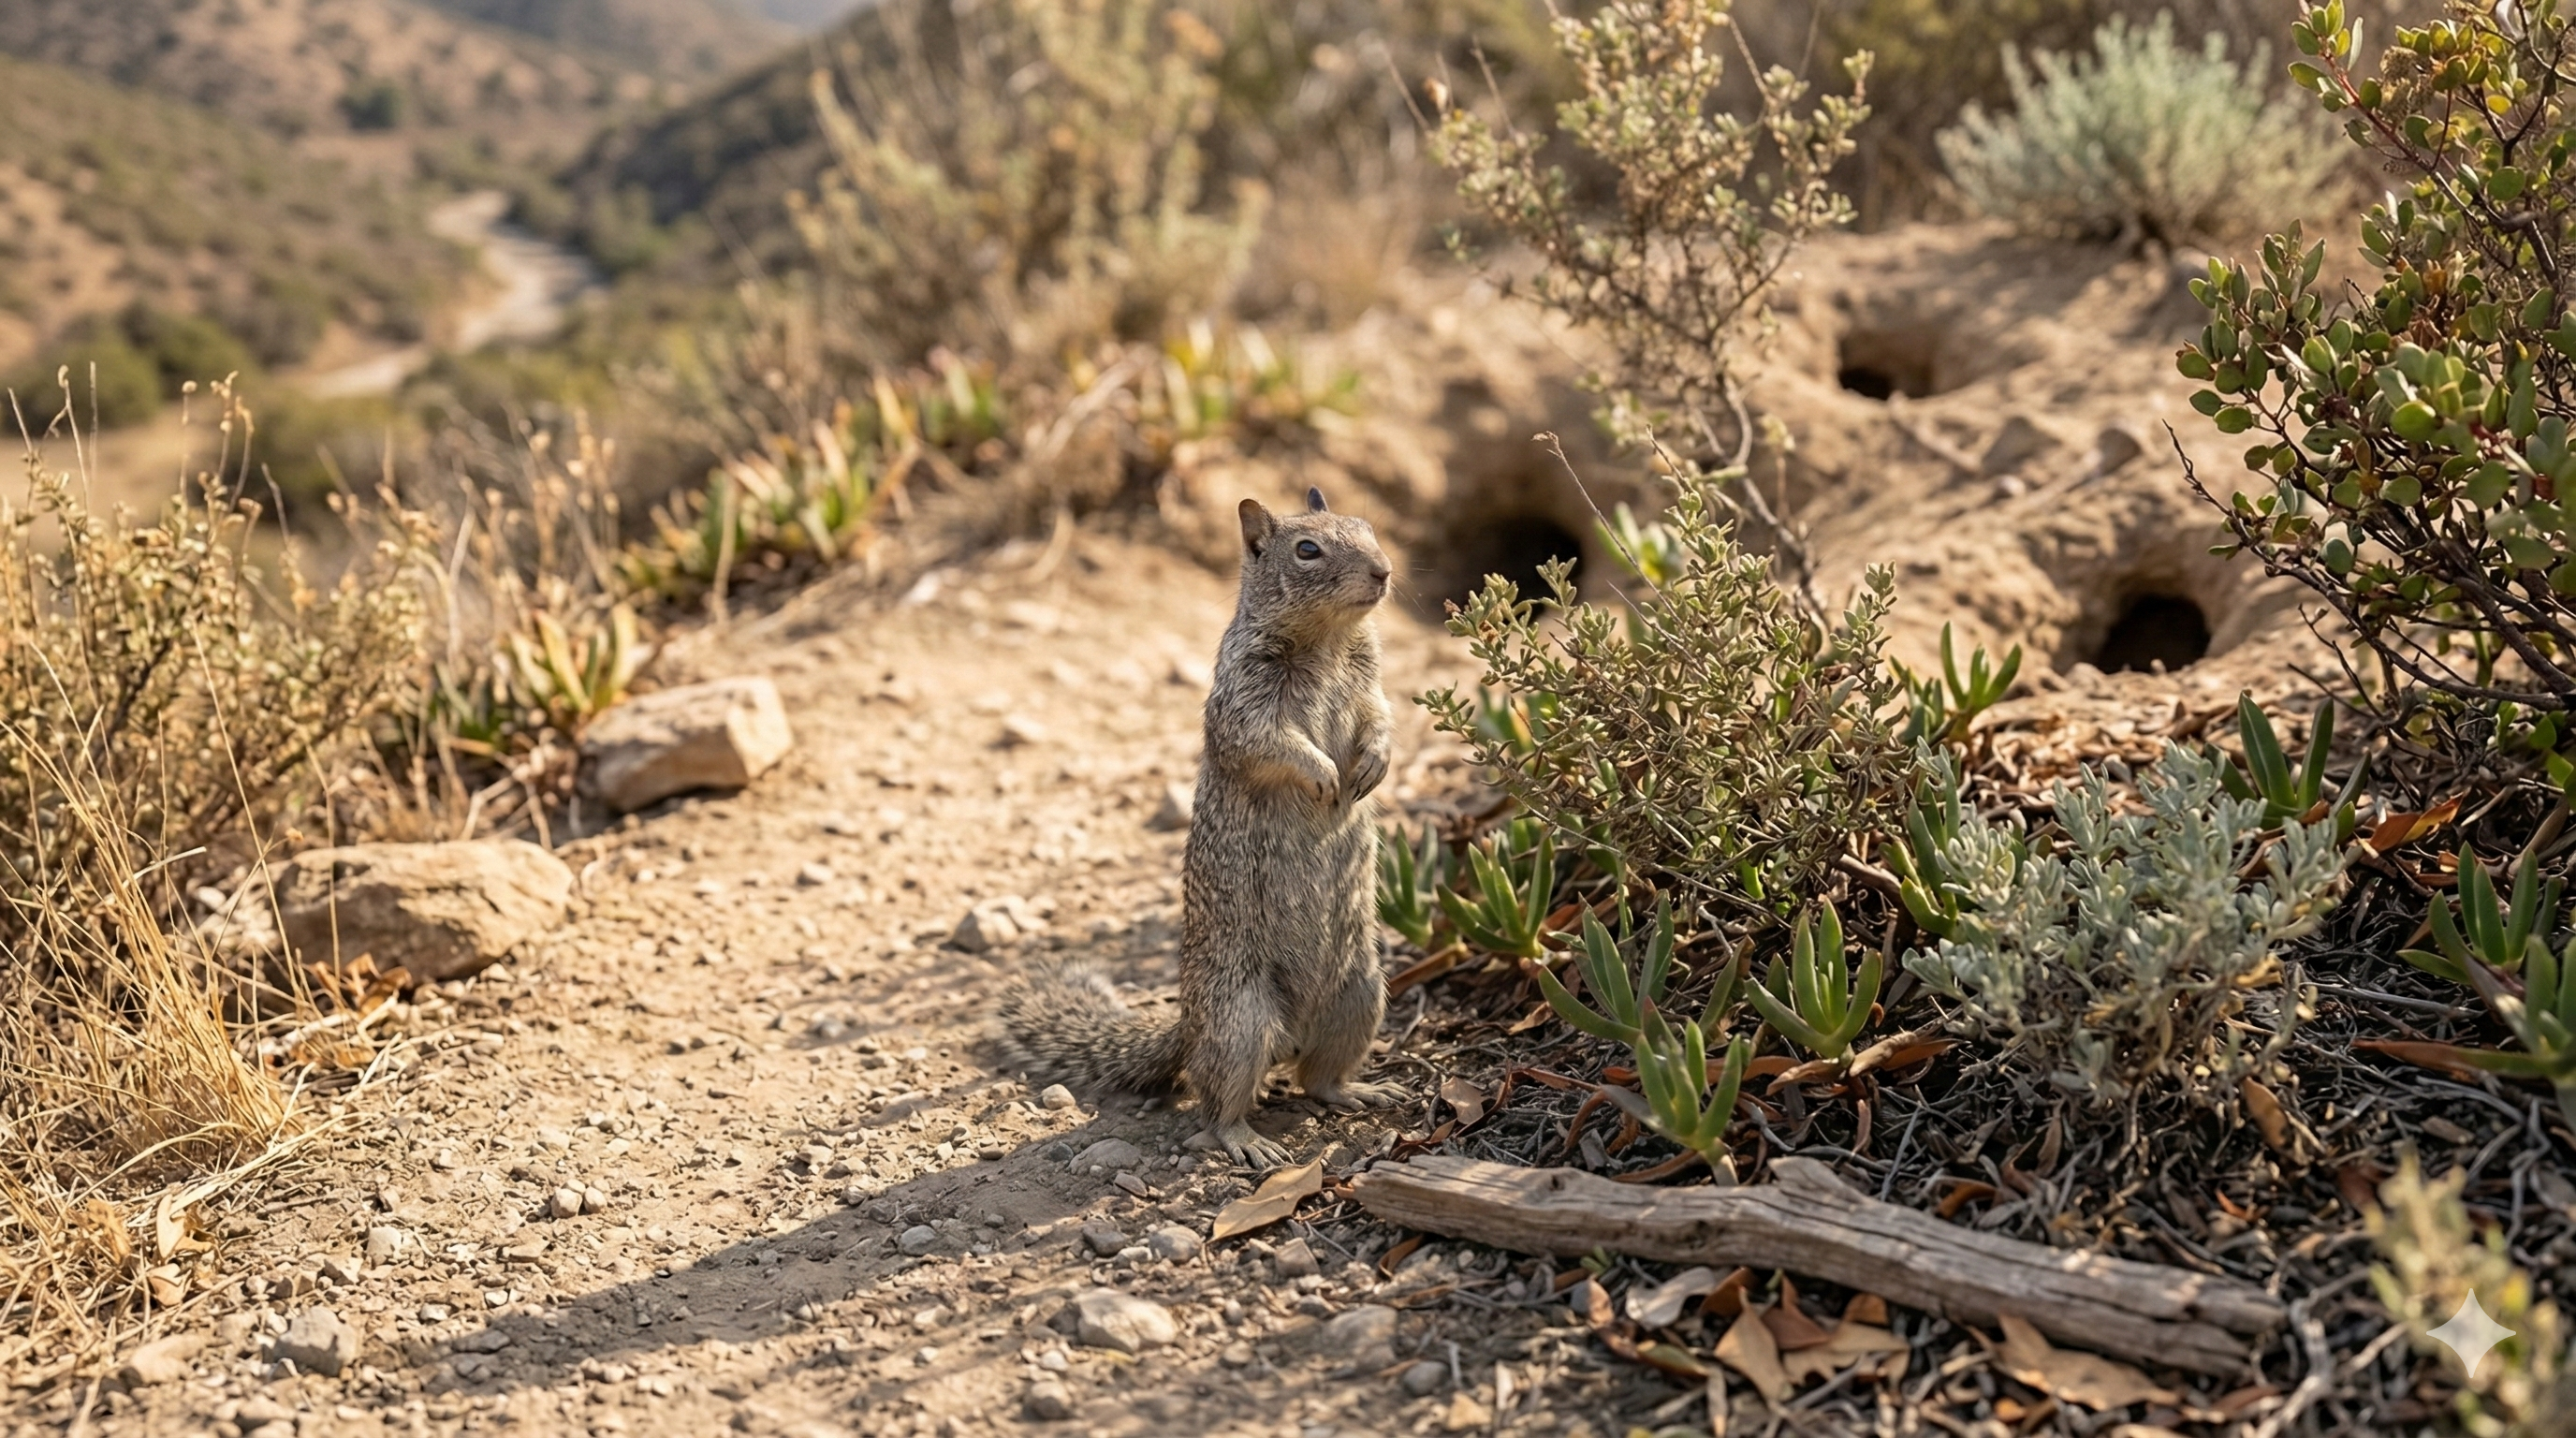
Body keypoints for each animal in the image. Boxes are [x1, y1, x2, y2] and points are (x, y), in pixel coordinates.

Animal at [996, 487, 1405, 1165]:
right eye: (1308, 550)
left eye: (1368, 527)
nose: (1383, 572)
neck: (1327, 640)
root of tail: (1186, 1025)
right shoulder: (1245, 705)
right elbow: (1270, 744)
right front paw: (1322, 774)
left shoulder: (1372, 687)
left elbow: (1381, 718)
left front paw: (1373, 763)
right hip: (1241, 1023)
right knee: (1218, 1106)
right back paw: (1248, 1143)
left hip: (1362, 995)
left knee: (1317, 1079)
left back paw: (1361, 1092)